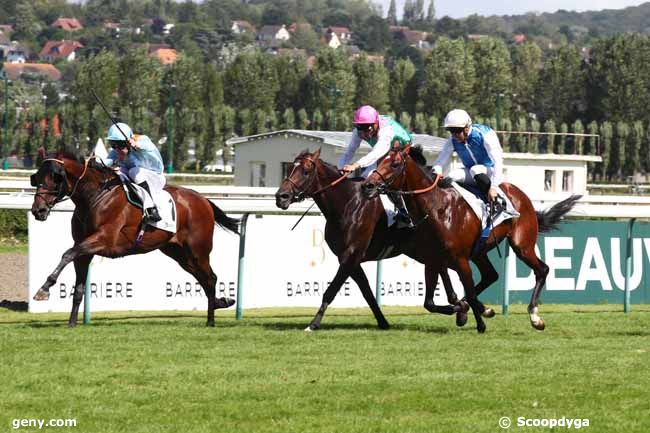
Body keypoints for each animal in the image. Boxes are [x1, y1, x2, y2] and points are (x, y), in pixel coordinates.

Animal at [270, 148, 468, 330]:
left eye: (305, 171)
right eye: (290, 168)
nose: (281, 197)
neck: (347, 204)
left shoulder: (350, 255)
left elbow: (331, 290)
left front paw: (313, 324)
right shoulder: (350, 258)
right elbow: (367, 292)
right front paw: (383, 322)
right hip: (424, 251)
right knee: (443, 271)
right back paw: (460, 306)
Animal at [362, 143, 580, 332]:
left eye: (394, 164)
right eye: (379, 160)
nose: (368, 185)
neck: (436, 208)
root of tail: (520, 195)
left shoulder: (459, 259)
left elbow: (468, 293)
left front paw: (478, 322)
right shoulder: (433, 259)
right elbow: (430, 303)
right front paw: (466, 310)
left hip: (522, 244)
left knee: (542, 269)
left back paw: (535, 317)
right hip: (479, 252)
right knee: (491, 275)